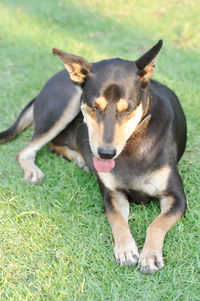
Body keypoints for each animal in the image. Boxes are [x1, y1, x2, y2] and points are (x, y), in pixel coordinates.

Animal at [0, 41, 188, 274]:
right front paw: (126, 249)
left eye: (127, 110)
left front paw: (150, 254)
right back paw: (36, 169)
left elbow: (157, 223)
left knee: (53, 145)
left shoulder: (177, 198)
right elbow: (118, 220)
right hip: (67, 104)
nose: (106, 153)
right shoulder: (112, 195)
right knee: (27, 150)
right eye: (95, 107)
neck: (133, 143)